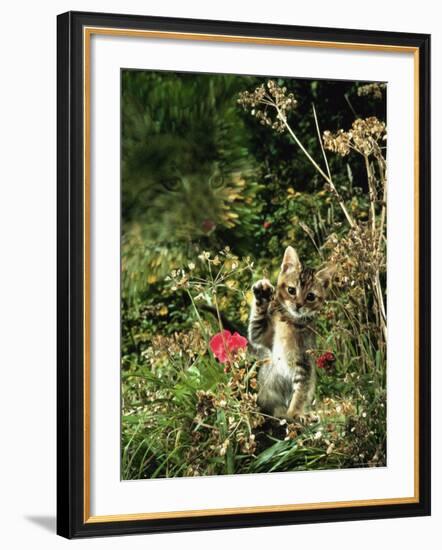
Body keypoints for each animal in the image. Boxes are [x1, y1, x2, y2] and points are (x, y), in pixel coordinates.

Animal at [249, 248, 334, 420]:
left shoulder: (304, 362)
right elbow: (256, 325)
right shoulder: (263, 338)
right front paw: (262, 296)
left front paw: (295, 413)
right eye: (291, 290)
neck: (289, 322)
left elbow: (300, 392)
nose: (298, 305)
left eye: (310, 296)